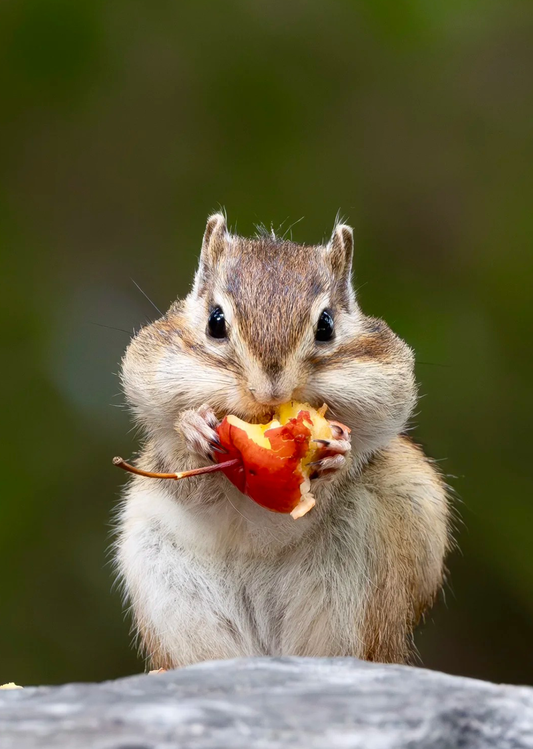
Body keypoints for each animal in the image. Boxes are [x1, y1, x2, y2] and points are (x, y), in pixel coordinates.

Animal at [115, 213, 450, 669]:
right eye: (215, 321)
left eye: (326, 326)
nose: (270, 393)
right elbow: (186, 469)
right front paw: (194, 426)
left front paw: (338, 455)